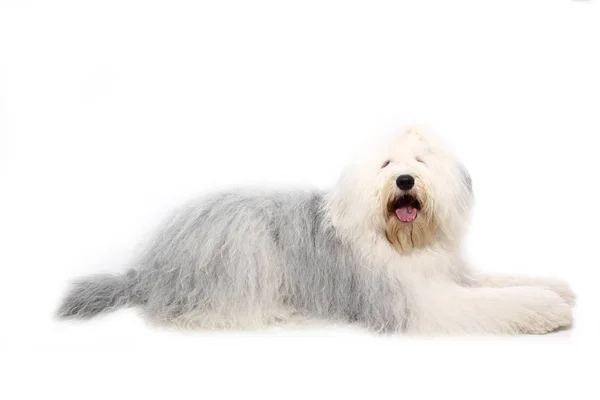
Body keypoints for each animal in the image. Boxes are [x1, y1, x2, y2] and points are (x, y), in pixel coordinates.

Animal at [58, 128, 576, 334]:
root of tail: (148, 267)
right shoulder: (411, 300)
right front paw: (546, 309)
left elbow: (495, 282)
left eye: (420, 160)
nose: (405, 181)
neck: (398, 242)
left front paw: (558, 288)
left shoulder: (448, 273)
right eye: (387, 164)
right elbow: (493, 303)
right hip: (241, 248)